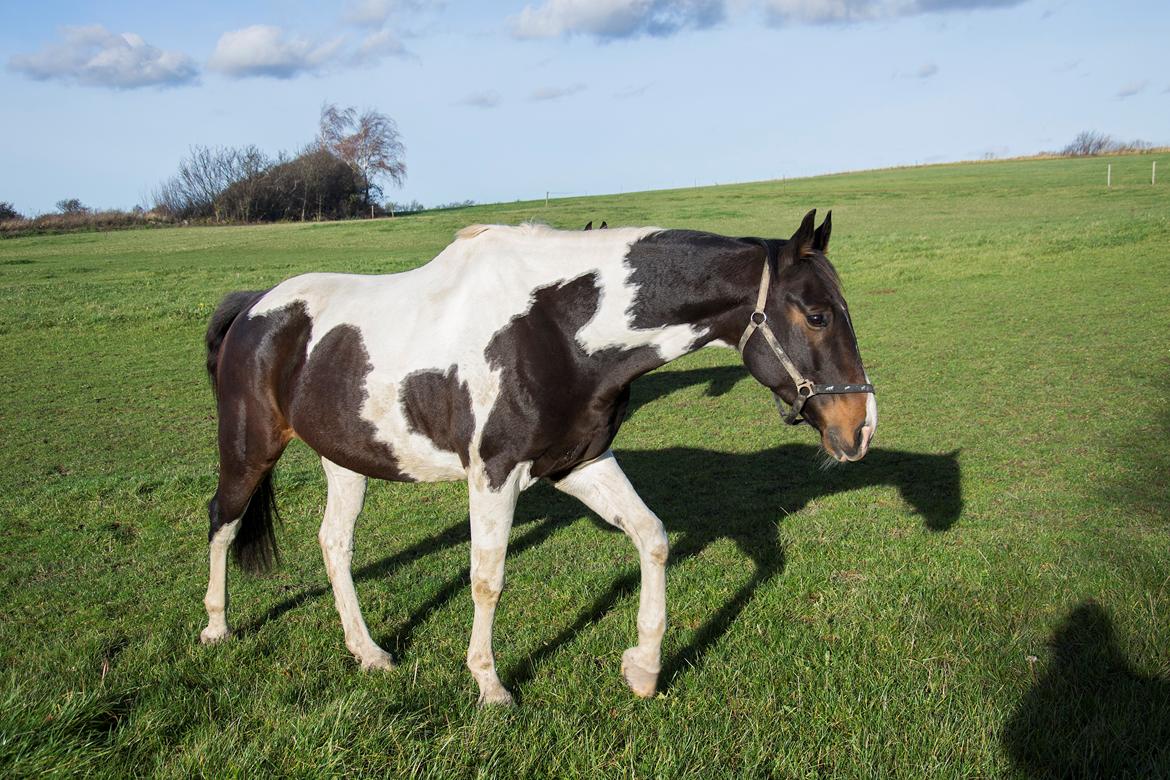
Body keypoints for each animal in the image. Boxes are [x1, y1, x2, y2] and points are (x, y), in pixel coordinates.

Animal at [203, 209, 879, 706]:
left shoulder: (578, 464)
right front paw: (489, 685)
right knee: (222, 520)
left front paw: (643, 668)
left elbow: (653, 538)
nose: (860, 429)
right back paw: (216, 627)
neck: (556, 328)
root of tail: (255, 307)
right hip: (248, 449)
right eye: (817, 315)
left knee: (334, 544)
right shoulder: (493, 476)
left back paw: (368, 652)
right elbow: (487, 579)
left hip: (346, 460)